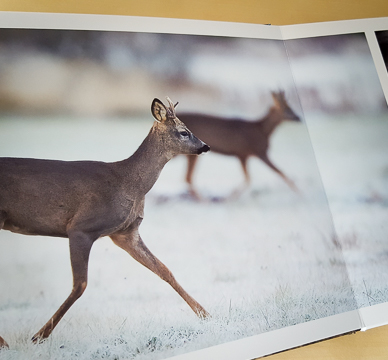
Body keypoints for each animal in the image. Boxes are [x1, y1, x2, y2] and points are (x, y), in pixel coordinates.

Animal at [0, 97, 209, 348]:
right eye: (183, 132)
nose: (205, 146)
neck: (130, 183)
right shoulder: (81, 228)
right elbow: (80, 285)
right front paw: (39, 336)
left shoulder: (125, 233)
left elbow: (164, 270)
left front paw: (206, 314)